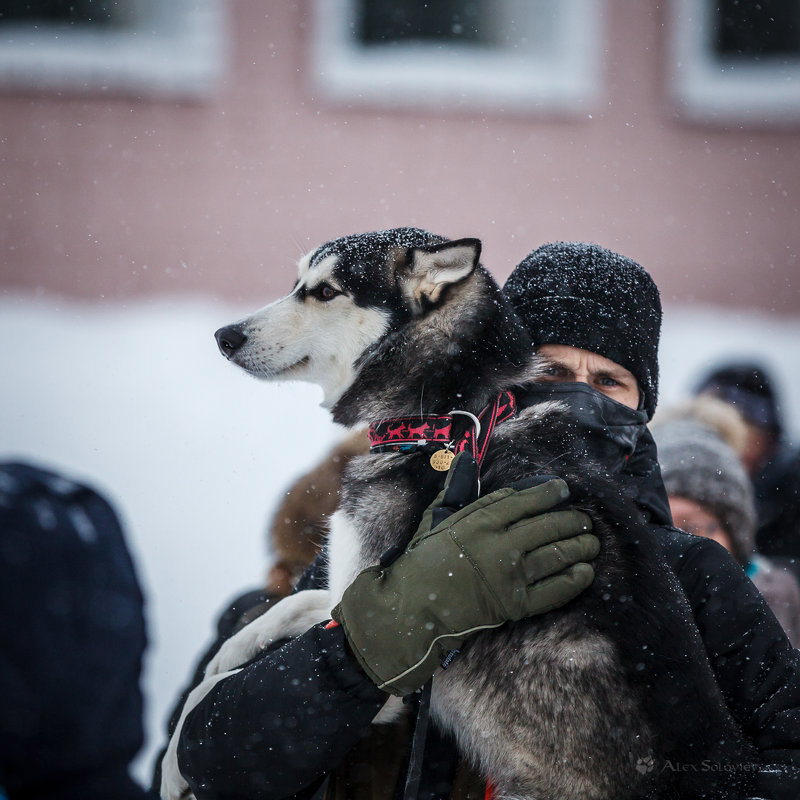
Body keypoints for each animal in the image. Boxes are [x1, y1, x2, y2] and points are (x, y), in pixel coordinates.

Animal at [164, 228, 756, 796]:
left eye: (326, 291)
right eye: (297, 283)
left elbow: (277, 636)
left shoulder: (391, 679)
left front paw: (173, 759)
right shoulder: (372, 602)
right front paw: (226, 656)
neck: (447, 422)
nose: (225, 336)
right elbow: (297, 607)